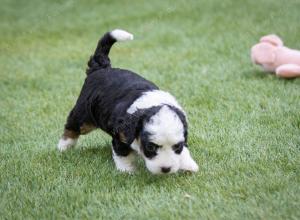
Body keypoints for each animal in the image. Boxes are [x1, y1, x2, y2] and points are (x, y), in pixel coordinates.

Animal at [58, 28, 199, 174]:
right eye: (151, 147)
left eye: (177, 147)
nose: (166, 169)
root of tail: (101, 68)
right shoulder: (121, 135)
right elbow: (123, 154)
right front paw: (128, 171)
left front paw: (189, 165)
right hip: (84, 116)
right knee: (72, 127)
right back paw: (64, 147)